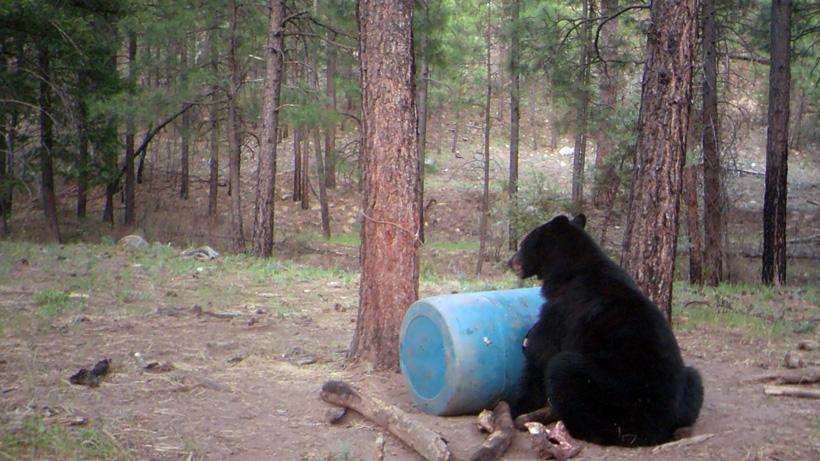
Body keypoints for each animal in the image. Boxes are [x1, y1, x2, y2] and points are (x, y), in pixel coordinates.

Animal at [508, 214, 703, 446]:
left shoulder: (564, 309)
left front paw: (517, 405)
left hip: (610, 393)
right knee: (695, 379)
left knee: (563, 369)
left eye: (523, 244)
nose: (509, 262)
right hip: (689, 383)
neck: (569, 270)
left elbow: (541, 351)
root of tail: (659, 426)